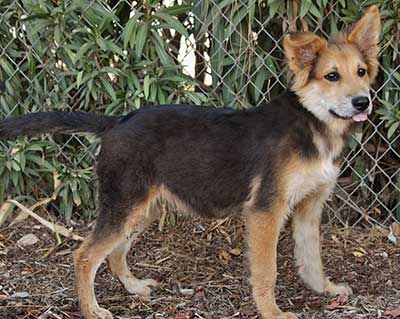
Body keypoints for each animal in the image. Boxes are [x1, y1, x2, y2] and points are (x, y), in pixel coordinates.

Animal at [0, 5, 382, 319]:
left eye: (362, 71)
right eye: (331, 76)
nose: (363, 102)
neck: (313, 122)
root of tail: (117, 121)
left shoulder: (309, 207)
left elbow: (312, 257)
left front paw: (326, 290)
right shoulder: (265, 211)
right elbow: (267, 271)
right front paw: (272, 312)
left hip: (143, 207)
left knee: (114, 253)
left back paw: (133, 288)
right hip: (125, 204)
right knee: (84, 256)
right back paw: (91, 310)